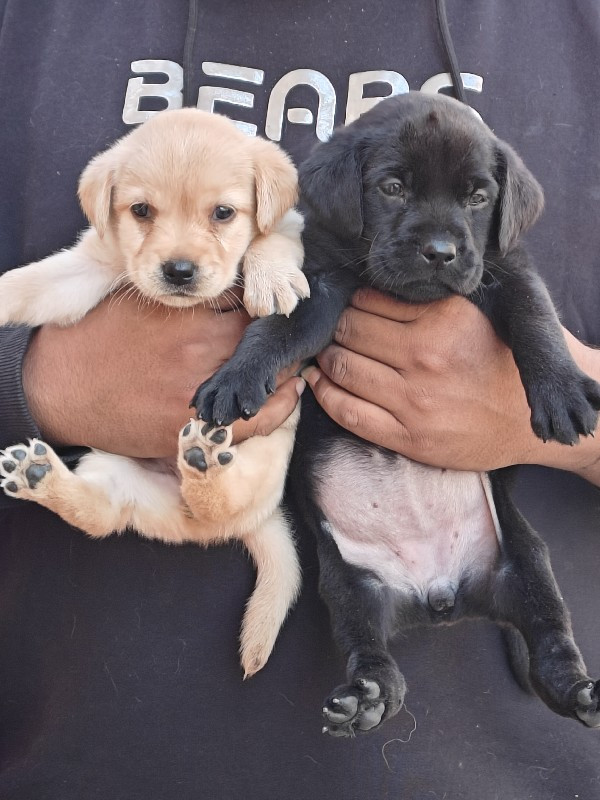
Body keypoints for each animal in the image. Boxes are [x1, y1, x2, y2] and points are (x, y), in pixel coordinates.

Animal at [0, 109, 310, 680]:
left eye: (223, 213)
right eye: (141, 211)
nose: (179, 271)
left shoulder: (294, 225)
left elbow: (270, 239)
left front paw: (274, 278)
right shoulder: (89, 266)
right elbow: (28, 283)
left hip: (258, 469)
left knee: (218, 501)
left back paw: (203, 461)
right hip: (114, 475)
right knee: (100, 515)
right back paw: (41, 477)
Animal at [191, 90, 600, 736]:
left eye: (478, 197)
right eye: (392, 188)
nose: (440, 252)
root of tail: (441, 598)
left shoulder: (508, 270)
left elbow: (537, 321)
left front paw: (562, 391)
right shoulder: (321, 282)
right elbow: (276, 328)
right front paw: (235, 378)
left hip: (526, 560)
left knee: (550, 636)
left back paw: (579, 690)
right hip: (349, 582)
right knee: (369, 645)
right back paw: (367, 697)